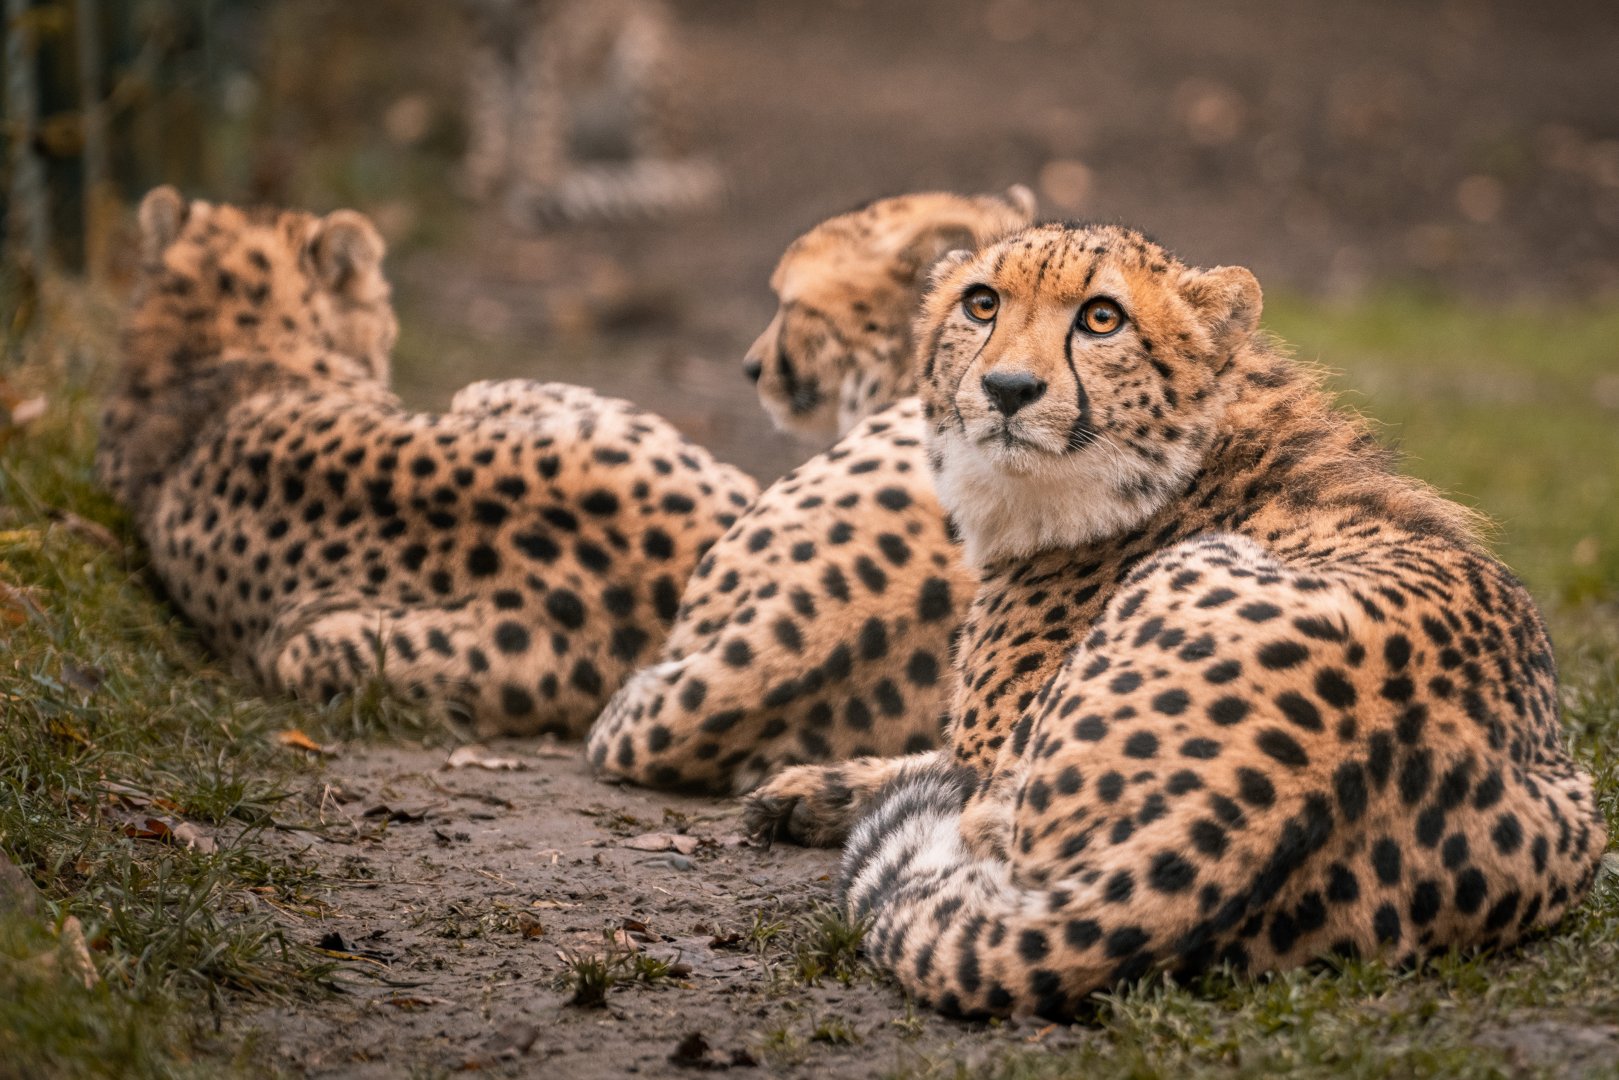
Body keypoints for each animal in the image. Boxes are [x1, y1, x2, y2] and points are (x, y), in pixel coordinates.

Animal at [744, 221, 1608, 1019]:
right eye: (980, 303)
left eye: (1101, 318)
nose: (1008, 388)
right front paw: (804, 790)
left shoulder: (988, 754)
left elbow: (940, 773)